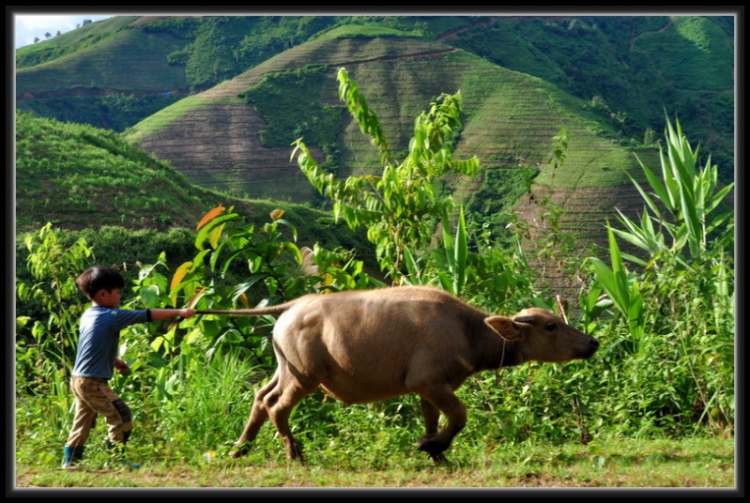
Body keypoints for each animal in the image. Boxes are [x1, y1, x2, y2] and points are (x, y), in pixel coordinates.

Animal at [198, 286, 600, 462]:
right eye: (551, 326)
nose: (592, 342)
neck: (467, 331)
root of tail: (293, 307)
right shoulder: (430, 382)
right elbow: (460, 417)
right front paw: (431, 446)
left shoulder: (429, 388)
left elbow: (433, 420)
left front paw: (437, 453)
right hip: (304, 377)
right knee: (278, 407)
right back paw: (294, 454)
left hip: (285, 368)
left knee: (261, 397)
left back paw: (239, 448)